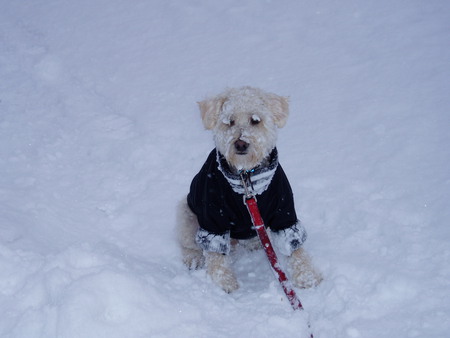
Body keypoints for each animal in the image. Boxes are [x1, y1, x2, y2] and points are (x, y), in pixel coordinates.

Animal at [178, 86, 322, 292]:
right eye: (229, 121)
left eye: (255, 120)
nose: (240, 143)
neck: (246, 177)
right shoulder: (213, 220)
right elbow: (216, 257)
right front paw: (224, 284)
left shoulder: (284, 213)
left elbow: (295, 248)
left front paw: (307, 277)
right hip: (186, 214)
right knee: (191, 244)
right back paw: (194, 258)